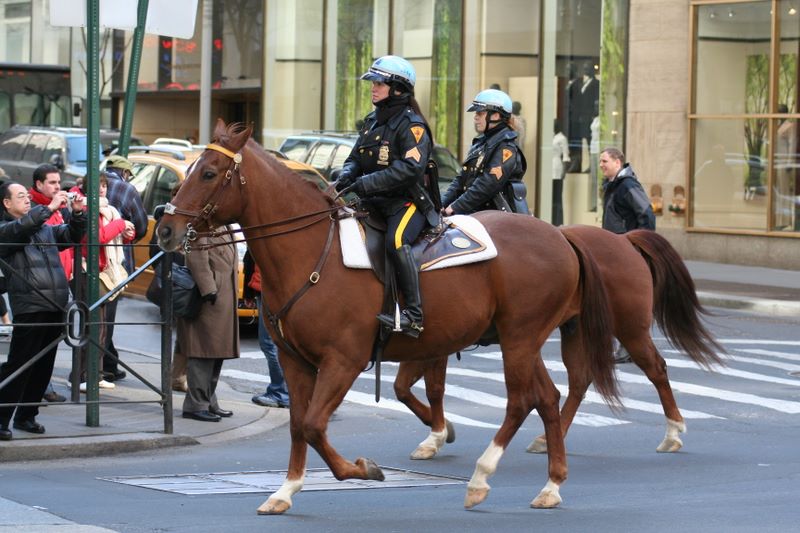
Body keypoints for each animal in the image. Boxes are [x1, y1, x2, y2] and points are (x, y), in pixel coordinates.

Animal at [156, 119, 620, 515]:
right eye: (192, 168)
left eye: (209, 173)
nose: (163, 228)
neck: (311, 251)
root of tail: (560, 234)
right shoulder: (295, 361)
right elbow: (298, 425)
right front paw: (286, 491)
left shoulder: (343, 360)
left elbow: (314, 425)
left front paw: (362, 469)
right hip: (521, 339)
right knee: (547, 397)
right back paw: (550, 486)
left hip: (519, 338)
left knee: (523, 400)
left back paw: (481, 478)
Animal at [392, 225, 725, 460]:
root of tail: (625, 240)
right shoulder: (424, 345)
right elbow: (403, 388)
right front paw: (438, 431)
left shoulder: (437, 346)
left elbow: (431, 388)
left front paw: (437, 434)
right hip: (574, 329)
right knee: (579, 380)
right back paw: (552, 437)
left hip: (630, 328)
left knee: (656, 368)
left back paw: (673, 433)